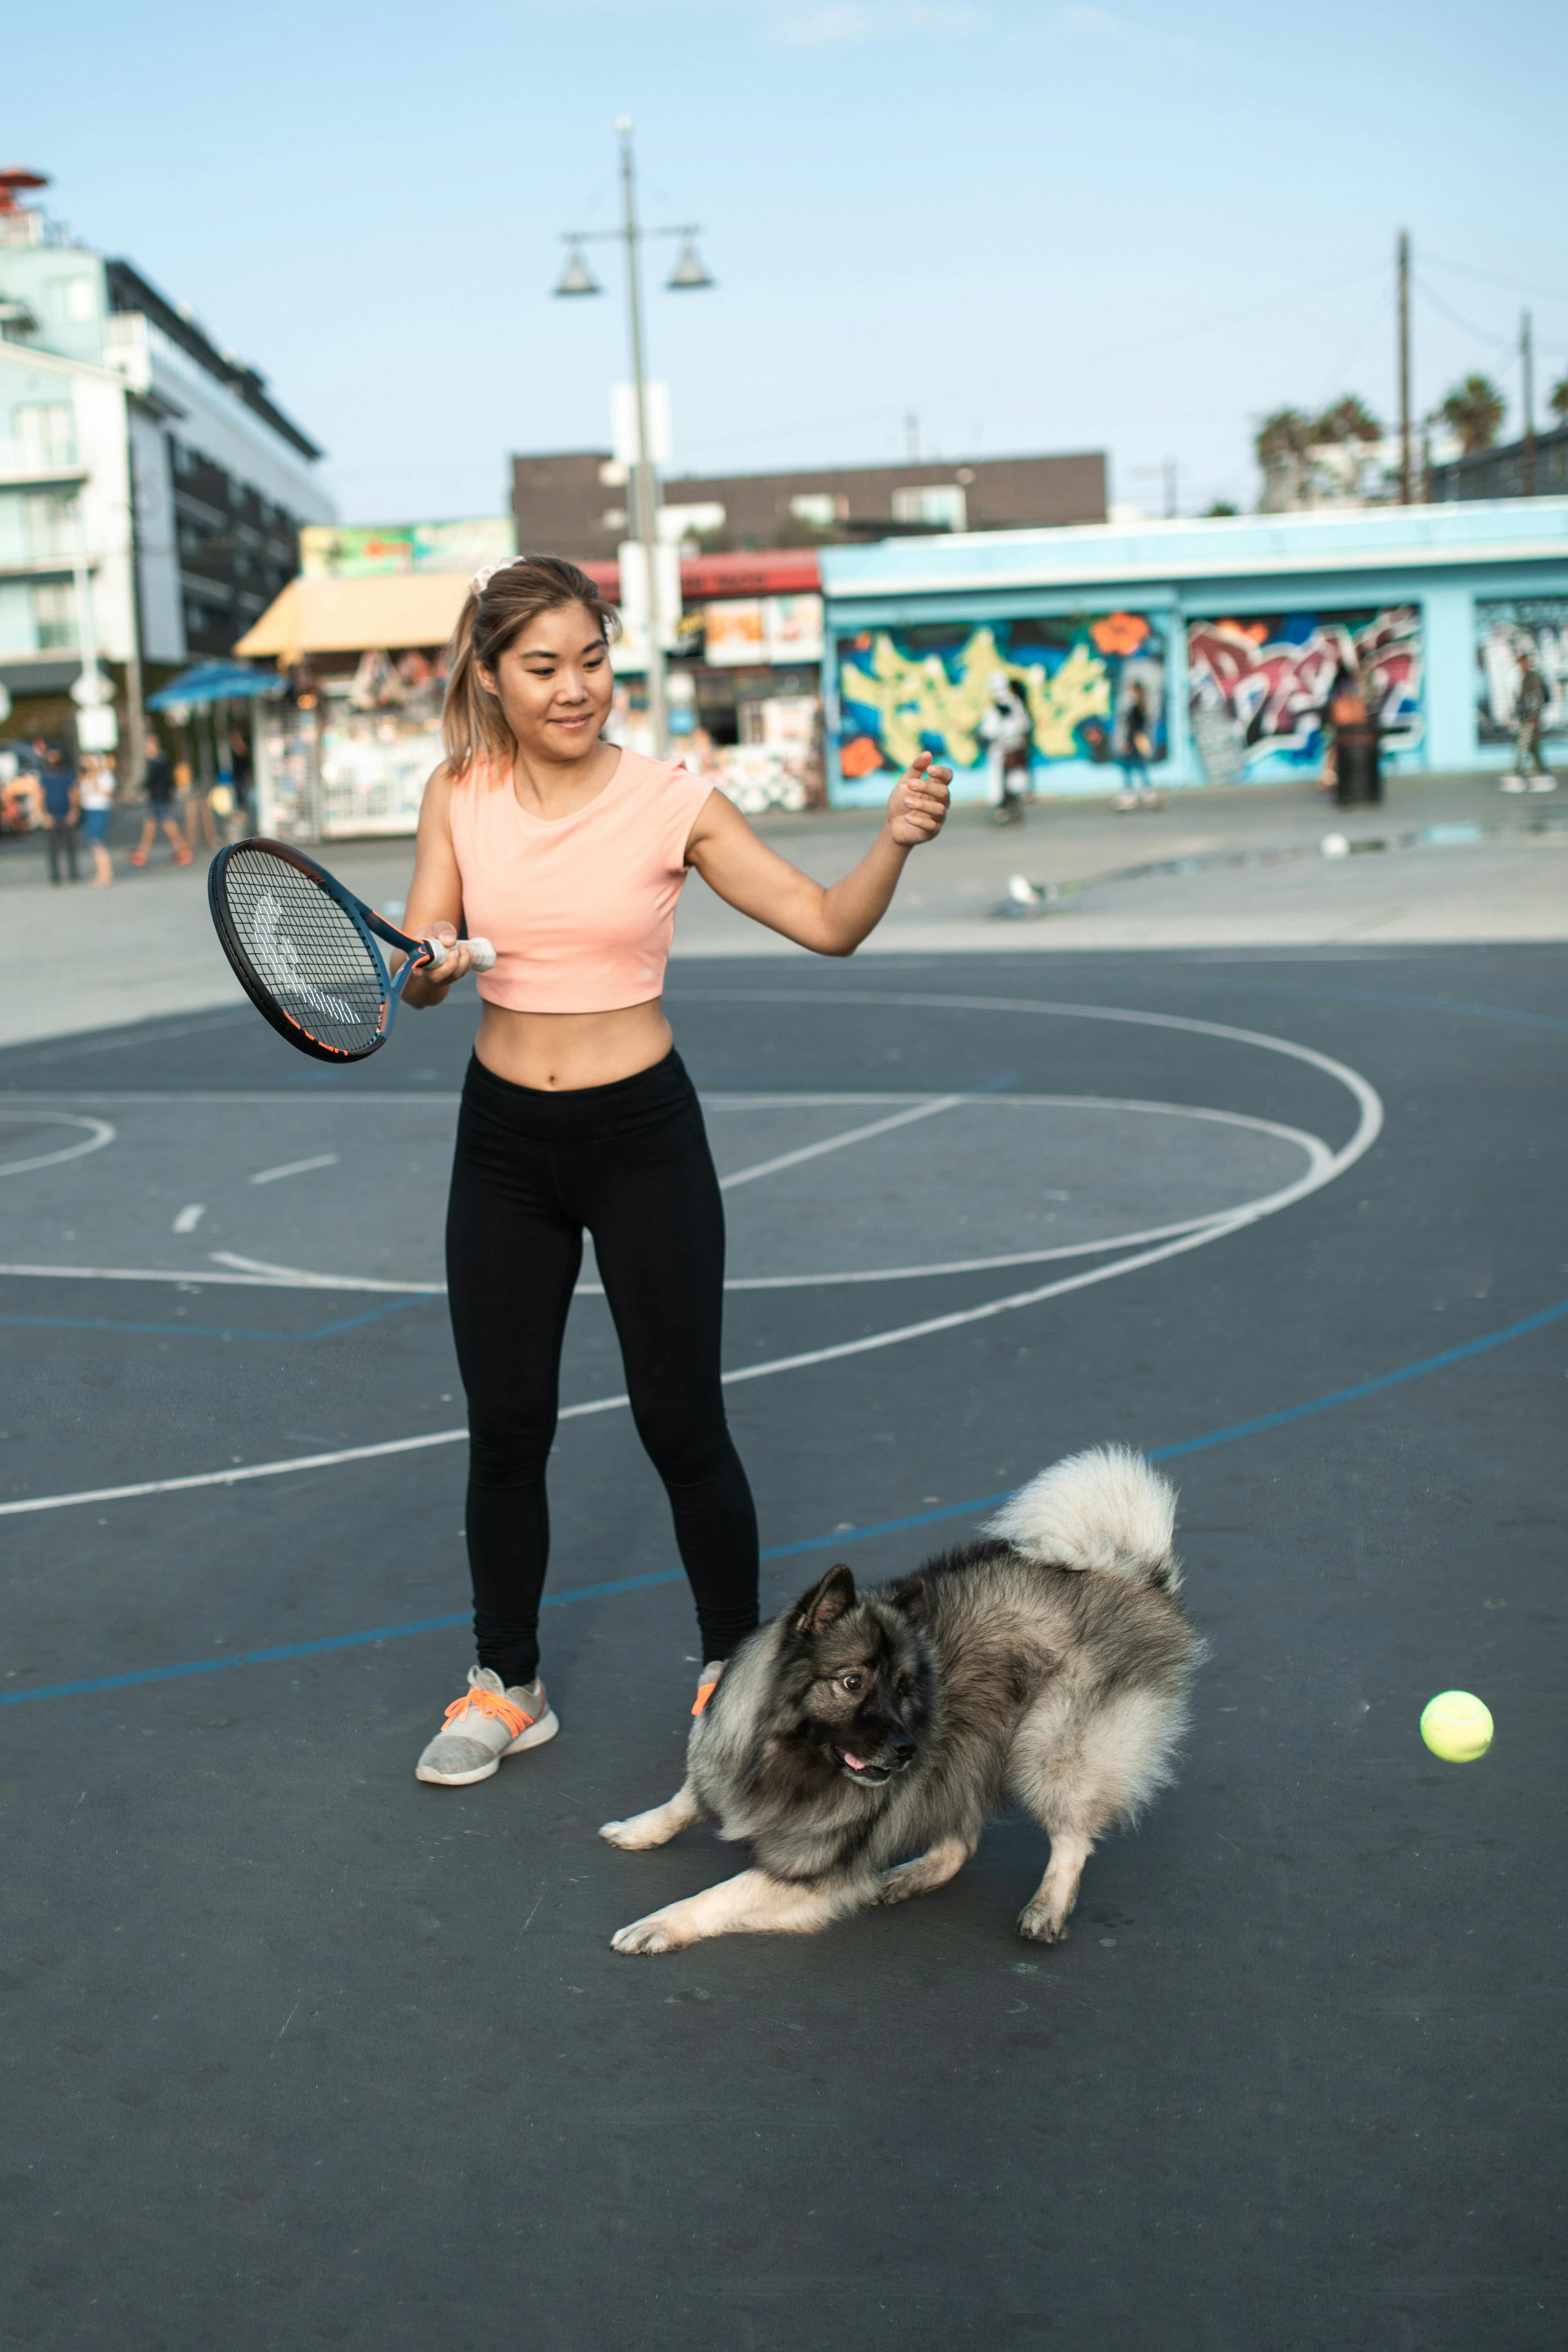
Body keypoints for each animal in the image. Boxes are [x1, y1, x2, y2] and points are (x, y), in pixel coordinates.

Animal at [602, 1439, 1203, 1956]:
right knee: (961, 1840)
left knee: (1072, 1838)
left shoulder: (812, 1865)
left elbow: (717, 1895)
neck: (780, 1756)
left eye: (902, 1688)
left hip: (1045, 1750)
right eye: (852, 1683)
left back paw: (1046, 1907)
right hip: (970, 1747)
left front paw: (657, 1924)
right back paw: (911, 1876)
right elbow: (685, 1800)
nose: (907, 1750)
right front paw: (638, 1829)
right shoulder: (721, 1761)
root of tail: (1130, 1573)